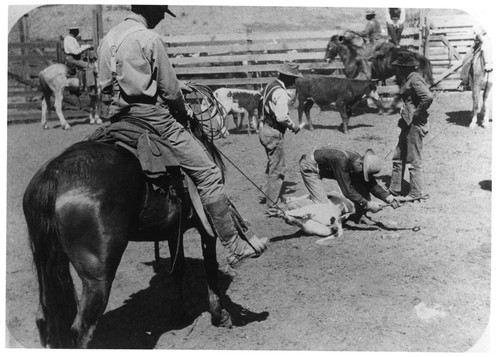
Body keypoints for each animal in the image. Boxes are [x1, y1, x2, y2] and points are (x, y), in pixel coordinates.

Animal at [23, 93, 234, 346]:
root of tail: (53, 174)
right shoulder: (207, 226)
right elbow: (210, 268)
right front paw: (219, 315)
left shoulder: (173, 229)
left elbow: (178, 268)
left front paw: (181, 314)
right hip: (97, 277)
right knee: (81, 328)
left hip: (45, 265)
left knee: (42, 318)